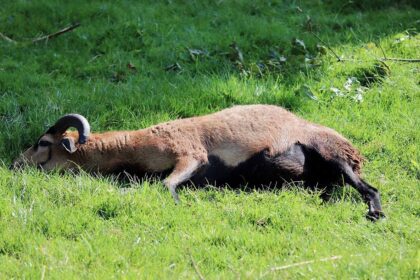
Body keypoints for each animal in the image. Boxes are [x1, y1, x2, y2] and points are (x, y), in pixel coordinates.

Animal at [10, 104, 384, 220]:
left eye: (43, 143)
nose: (14, 165)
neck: (130, 147)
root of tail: (356, 152)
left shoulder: (189, 154)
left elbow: (167, 184)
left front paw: (177, 203)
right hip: (321, 174)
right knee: (329, 189)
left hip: (333, 155)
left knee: (369, 188)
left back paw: (375, 214)